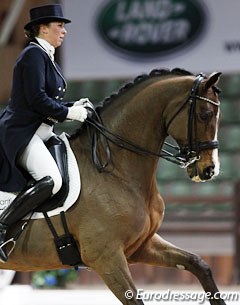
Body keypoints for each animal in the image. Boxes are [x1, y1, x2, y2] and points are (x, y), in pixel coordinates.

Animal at [0, 69, 225, 304]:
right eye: (205, 114)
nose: (210, 169)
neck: (117, 172)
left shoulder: (141, 247)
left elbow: (199, 264)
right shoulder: (106, 258)